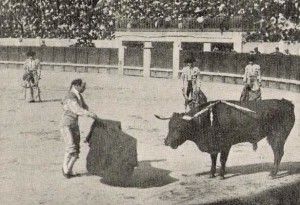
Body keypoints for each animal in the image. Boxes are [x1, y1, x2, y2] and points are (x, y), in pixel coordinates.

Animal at [157, 99, 296, 178]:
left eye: (179, 127)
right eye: (169, 126)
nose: (166, 142)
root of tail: (287, 103)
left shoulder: (225, 144)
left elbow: (222, 160)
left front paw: (221, 175)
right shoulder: (213, 145)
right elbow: (213, 159)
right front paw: (211, 174)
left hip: (277, 136)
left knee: (278, 153)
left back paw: (273, 174)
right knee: (278, 153)